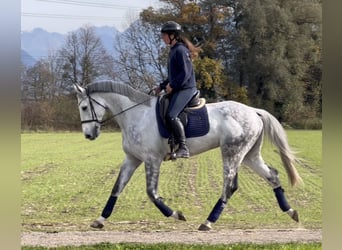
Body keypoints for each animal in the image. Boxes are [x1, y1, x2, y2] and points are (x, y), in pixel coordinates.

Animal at [73, 80, 300, 230]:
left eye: (84, 107)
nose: (88, 135)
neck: (135, 115)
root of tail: (253, 111)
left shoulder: (152, 160)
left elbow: (152, 193)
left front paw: (176, 215)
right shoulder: (132, 159)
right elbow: (116, 189)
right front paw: (100, 220)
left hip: (232, 153)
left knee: (230, 186)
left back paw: (207, 222)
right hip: (249, 156)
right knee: (272, 175)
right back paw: (291, 212)